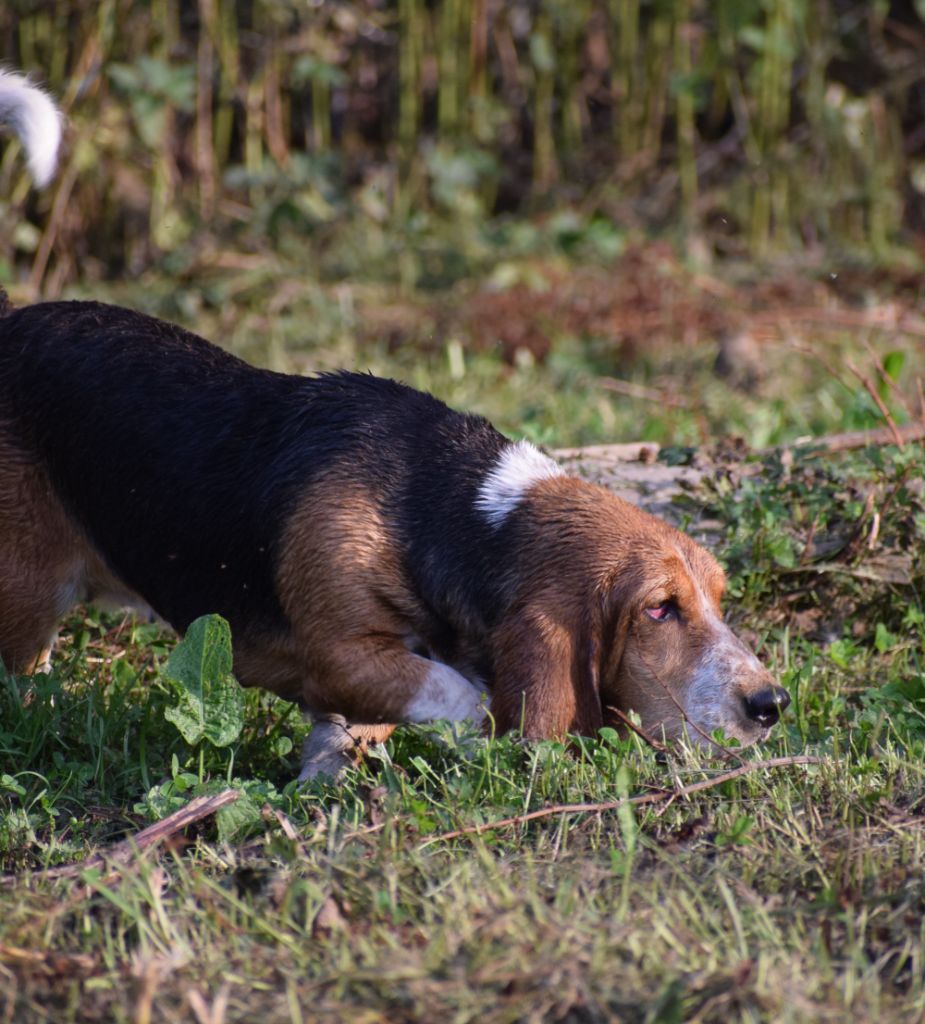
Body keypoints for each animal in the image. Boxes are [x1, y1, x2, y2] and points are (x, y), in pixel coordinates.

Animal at [0, 70, 786, 774]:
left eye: (716, 599)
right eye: (658, 610)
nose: (770, 704)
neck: (445, 510)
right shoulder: (338, 654)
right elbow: (465, 697)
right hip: (27, 596)